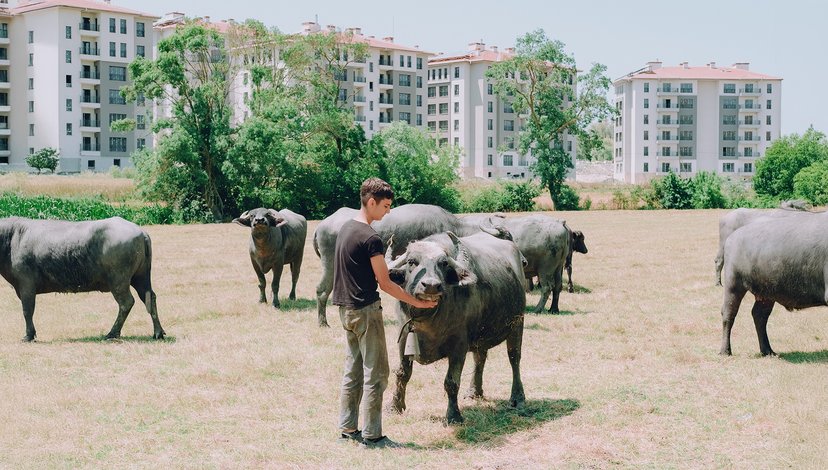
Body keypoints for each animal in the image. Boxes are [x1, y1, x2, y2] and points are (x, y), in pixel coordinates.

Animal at [0, 216, 165, 341]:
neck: (11, 239)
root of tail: (141, 232)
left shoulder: (26, 285)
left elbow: (27, 310)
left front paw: (28, 336)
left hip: (119, 281)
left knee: (126, 303)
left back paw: (112, 333)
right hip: (140, 277)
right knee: (150, 298)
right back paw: (158, 332)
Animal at [387, 231, 526, 424]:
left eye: (443, 263)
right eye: (411, 261)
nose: (431, 286)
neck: (428, 318)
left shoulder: (459, 345)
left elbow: (451, 382)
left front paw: (453, 415)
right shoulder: (404, 338)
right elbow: (402, 374)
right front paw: (395, 406)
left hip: (517, 324)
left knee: (514, 358)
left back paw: (517, 398)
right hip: (480, 334)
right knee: (480, 358)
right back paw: (474, 391)